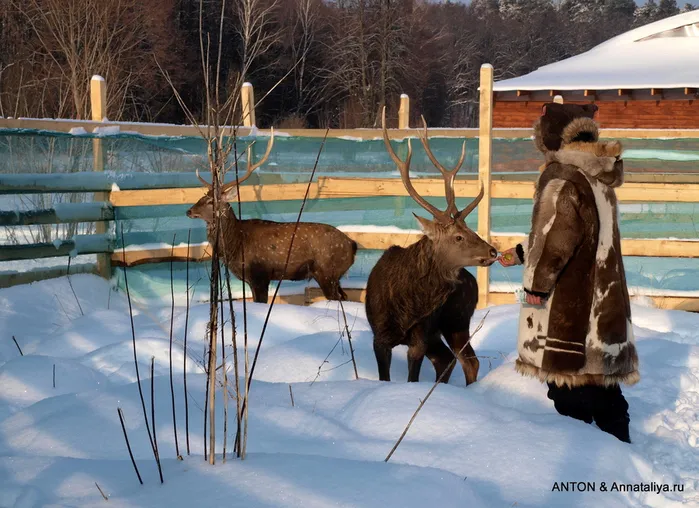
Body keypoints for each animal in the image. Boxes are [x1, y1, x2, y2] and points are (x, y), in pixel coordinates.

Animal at [186, 132, 358, 306]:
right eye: (202, 197)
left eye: (211, 201)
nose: (189, 211)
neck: (235, 244)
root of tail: (352, 244)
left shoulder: (259, 275)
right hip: (334, 276)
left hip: (327, 272)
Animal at [366, 108, 498, 384]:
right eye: (458, 236)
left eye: (471, 229)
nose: (493, 251)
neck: (407, 306)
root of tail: (472, 282)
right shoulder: (379, 337)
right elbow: (385, 377)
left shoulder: (420, 334)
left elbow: (412, 377)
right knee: (449, 360)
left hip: (456, 320)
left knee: (468, 361)